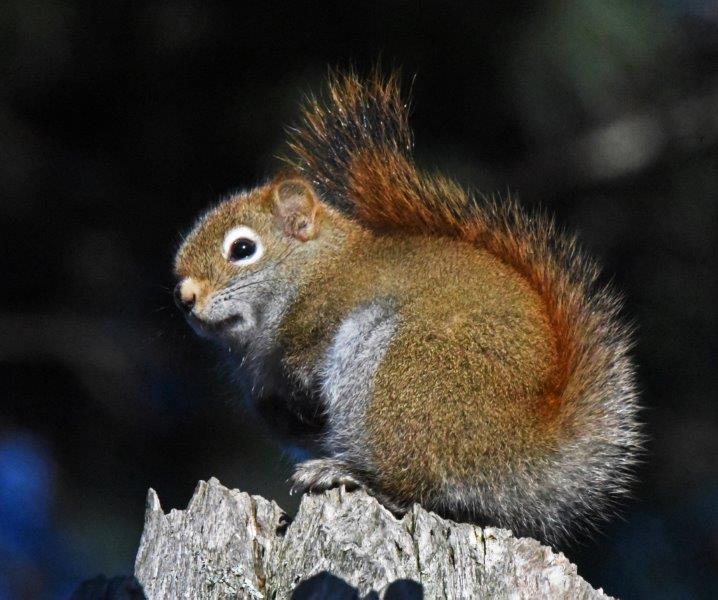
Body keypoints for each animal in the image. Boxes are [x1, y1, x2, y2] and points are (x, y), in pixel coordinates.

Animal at [173, 69, 641, 541]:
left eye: (243, 248)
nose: (185, 297)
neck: (314, 271)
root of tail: (521, 452)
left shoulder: (332, 305)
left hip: (404, 378)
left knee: (412, 483)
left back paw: (347, 473)